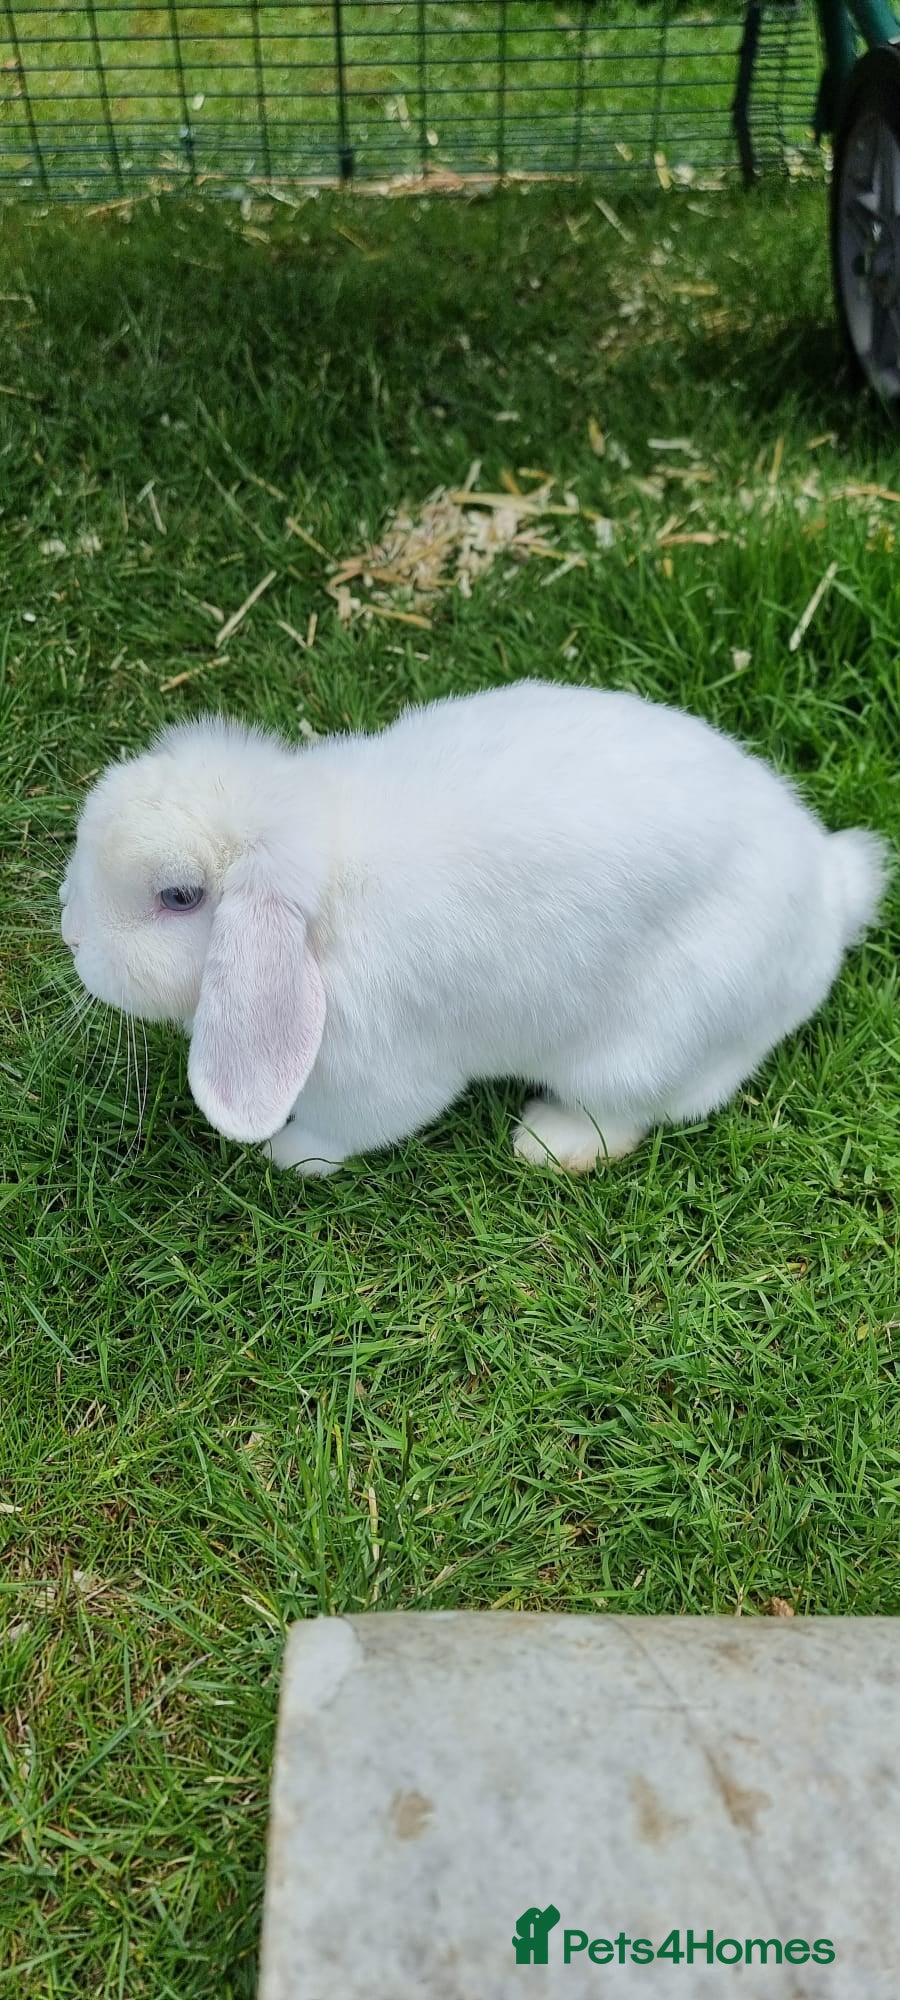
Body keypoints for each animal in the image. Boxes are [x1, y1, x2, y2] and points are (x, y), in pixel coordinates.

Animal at [59, 680, 890, 1177]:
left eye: (178, 896)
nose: (71, 932)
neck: (324, 899)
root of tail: (828, 891)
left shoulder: (380, 1073)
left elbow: (344, 1128)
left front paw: (286, 1154)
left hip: (648, 1045)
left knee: (632, 1113)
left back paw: (547, 1143)